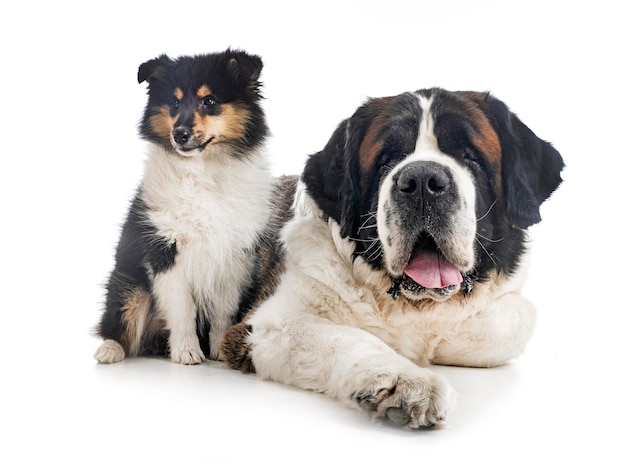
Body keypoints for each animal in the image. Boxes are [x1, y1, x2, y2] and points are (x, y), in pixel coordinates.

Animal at [222, 88, 564, 432]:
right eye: (386, 159)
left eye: (470, 156)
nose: (423, 180)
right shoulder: (265, 324)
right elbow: (352, 337)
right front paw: (407, 383)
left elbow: (519, 316)